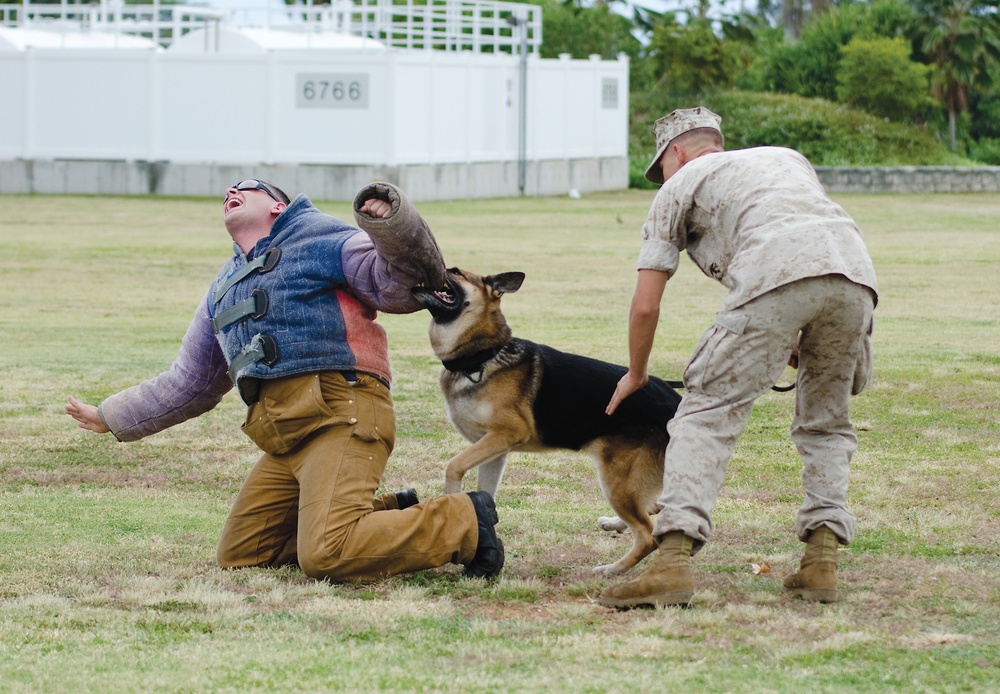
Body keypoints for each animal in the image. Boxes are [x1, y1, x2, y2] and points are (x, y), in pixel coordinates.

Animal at [410, 268, 684, 576]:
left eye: (456, 272)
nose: (437, 269)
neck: (482, 356)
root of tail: (674, 403)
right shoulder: (495, 450)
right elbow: (484, 492)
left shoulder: (507, 433)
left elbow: (453, 465)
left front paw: (450, 504)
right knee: (654, 507)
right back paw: (615, 526)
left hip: (618, 480)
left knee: (648, 534)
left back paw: (613, 569)